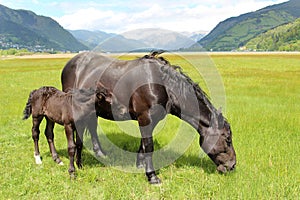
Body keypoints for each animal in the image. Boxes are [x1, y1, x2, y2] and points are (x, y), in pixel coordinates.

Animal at [61, 51, 237, 184]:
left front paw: (140, 165)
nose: (232, 166)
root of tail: (72, 63)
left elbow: (144, 145)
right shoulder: (145, 118)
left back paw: (98, 155)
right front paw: (152, 176)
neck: (163, 84)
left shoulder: (149, 121)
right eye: (227, 139)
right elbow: (149, 146)